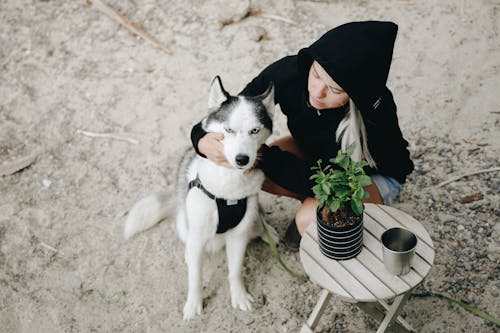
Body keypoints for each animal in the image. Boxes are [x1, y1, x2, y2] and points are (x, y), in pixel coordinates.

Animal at [122, 76, 278, 320]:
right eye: (229, 130)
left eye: (255, 130)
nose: (242, 159)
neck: (228, 189)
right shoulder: (197, 234)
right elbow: (195, 277)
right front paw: (194, 304)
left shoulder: (238, 235)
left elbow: (235, 271)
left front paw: (238, 296)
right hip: (184, 225)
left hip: (250, 219)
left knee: (258, 221)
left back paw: (266, 231)